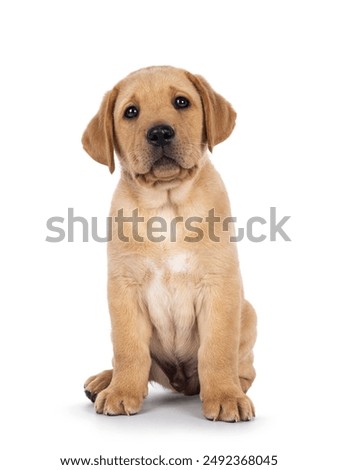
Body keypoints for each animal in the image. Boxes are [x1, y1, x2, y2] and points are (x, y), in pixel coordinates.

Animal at [82, 66, 256, 422]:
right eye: (130, 112)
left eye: (181, 102)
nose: (160, 133)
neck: (166, 205)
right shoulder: (124, 289)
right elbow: (129, 349)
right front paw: (122, 391)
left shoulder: (219, 287)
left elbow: (217, 350)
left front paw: (225, 396)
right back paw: (105, 381)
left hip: (248, 314)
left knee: (245, 368)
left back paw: (237, 387)